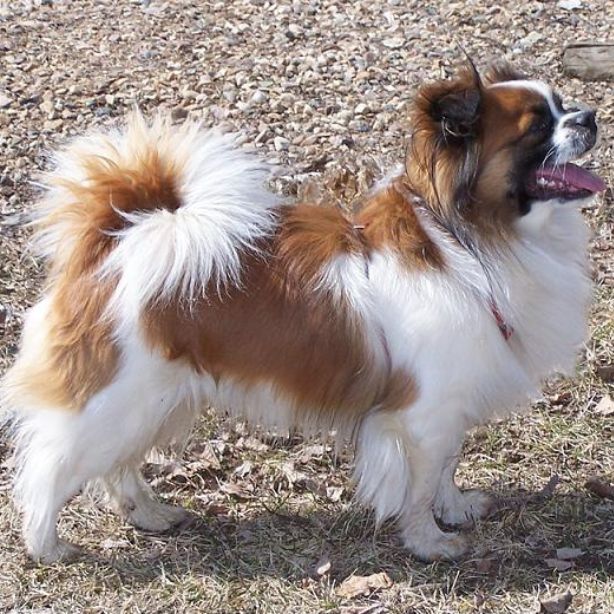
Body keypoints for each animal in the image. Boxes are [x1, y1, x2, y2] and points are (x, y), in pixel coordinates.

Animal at [0, 61, 608, 564]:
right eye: (538, 127)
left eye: (562, 103)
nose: (592, 116)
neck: (475, 242)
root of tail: (117, 240)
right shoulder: (421, 414)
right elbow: (418, 486)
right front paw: (429, 542)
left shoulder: (450, 404)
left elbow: (447, 466)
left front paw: (454, 508)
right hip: (117, 399)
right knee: (50, 467)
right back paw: (46, 545)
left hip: (154, 400)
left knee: (117, 465)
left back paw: (148, 514)